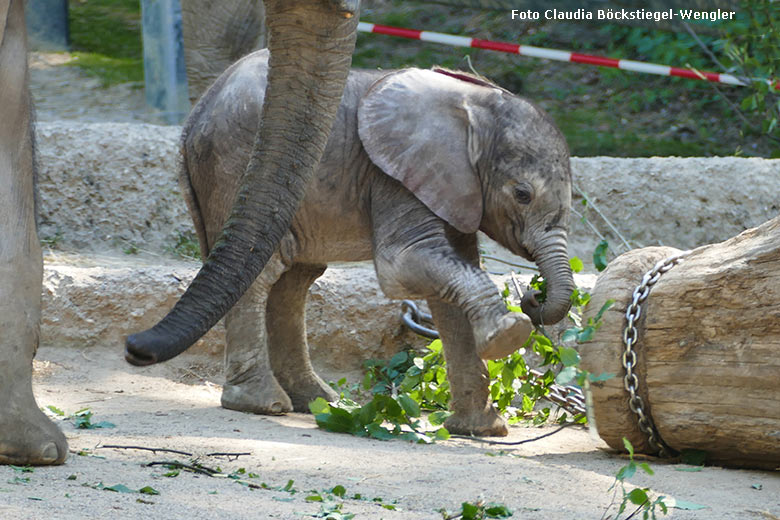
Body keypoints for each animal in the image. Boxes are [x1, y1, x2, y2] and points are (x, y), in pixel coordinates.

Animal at [181, 48, 572, 436]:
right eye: (522, 194)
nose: (532, 297)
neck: (474, 103)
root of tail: (194, 117)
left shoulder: (453, 188)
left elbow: (452, 286)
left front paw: (481, 430)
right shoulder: (394, 175)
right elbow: (403, 265)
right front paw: (511, 334)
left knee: (294, 281)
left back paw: (318, 401)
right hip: (232, 165)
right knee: (258, 272)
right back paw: (264, 404)